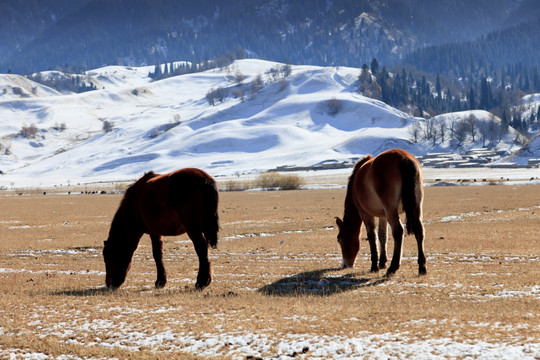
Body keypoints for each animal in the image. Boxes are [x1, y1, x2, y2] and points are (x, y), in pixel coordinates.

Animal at [334, 148, 426, 278]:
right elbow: (383, 236)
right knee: (419, 230)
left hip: (391, 210)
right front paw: (382, 262)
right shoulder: (383, 216)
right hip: (416, 207)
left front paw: (374, 266)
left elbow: (372, 236)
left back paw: (393, 267)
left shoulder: (365, 213)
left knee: (398, 231)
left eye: (340, 239)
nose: (345, 264)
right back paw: (422, 267)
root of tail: (403, 158)